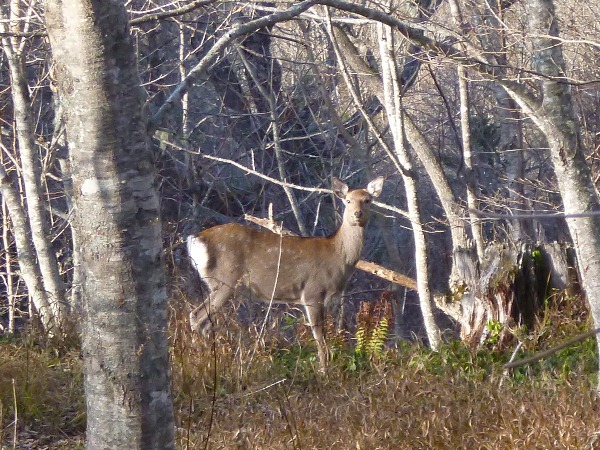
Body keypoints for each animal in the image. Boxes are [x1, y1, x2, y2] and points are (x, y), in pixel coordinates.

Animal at [188, 177, 384, 370]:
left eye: (367, 200)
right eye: (348, 200)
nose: (358, 213)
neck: (338, 257)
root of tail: (196, 239)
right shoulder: (313, 292)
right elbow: (319, 338)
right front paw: (323, 371)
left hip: (218, 284)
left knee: (202, 320)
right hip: (224, 280)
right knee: (197, 317)